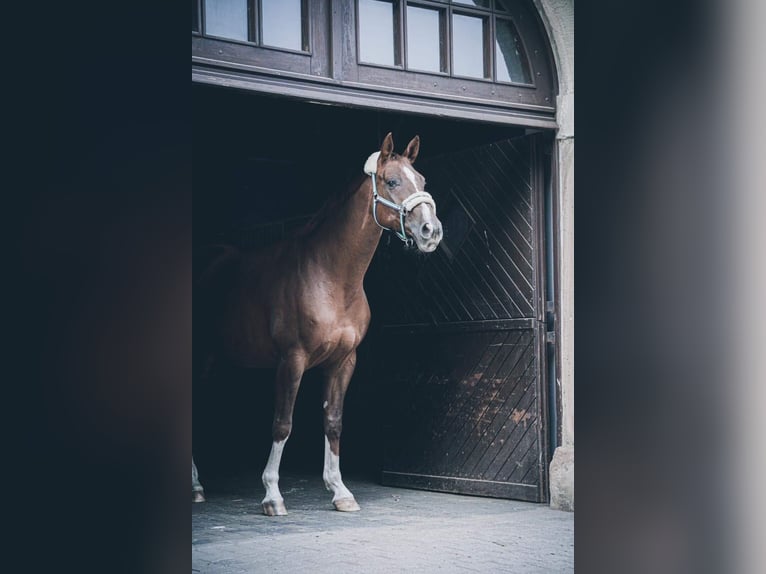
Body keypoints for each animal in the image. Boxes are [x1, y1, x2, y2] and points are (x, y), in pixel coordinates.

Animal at [192, 133, 443, 515]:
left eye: (423, 181)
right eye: (392, 181)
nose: (431, 231)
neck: (331, 276)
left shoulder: (344, 361)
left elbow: (334, 421)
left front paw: (340, 491)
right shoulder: (291, 360)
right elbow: (283, 423)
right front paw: (272, 495)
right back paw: (195, 486)